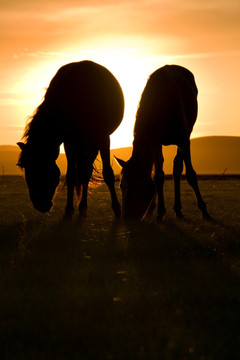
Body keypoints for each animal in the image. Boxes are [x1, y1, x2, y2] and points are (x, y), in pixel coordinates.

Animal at [17, 60, 124, 218]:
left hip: (92, 141)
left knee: (87, 171)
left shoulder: (103, 137)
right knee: (84, 172)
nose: (40, 205)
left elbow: (108, 174)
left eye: (42, 167)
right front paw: (68, 211)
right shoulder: (70, 140)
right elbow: (71, 176)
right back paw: (82, 208)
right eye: (26, 169)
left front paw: (117, 209)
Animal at [115, 65, 211, 221]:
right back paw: (162, 209)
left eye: (136, 185)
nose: (127, 218)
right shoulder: (156, 142)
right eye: (121, 186)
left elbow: (190, 174)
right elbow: (158, 176)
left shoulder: (184, 140)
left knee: (177, 167)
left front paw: (204, 210)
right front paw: (159, 211)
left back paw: (178, 209)